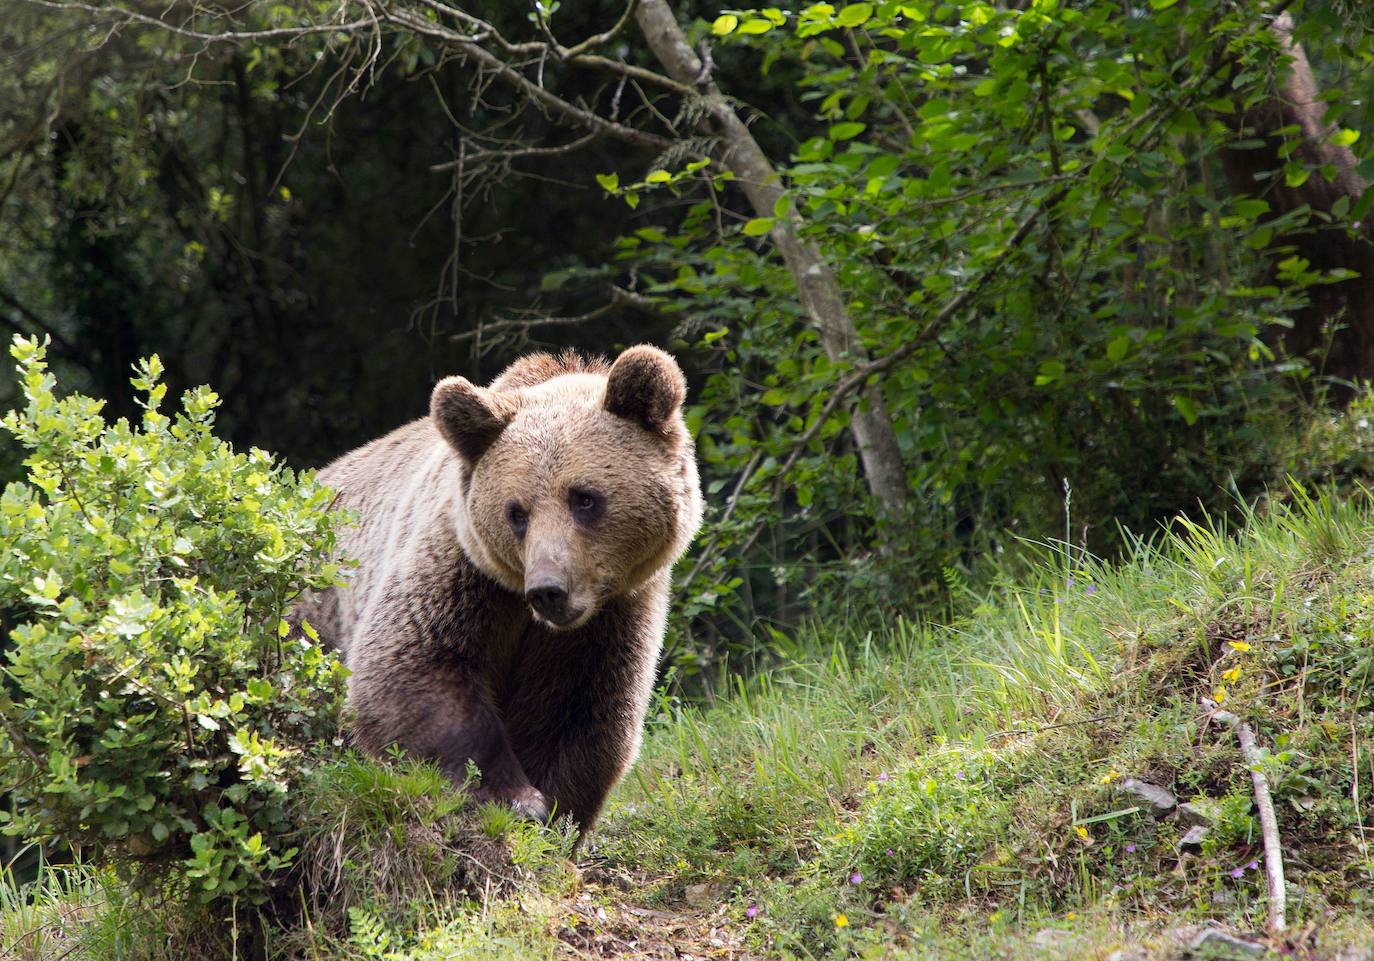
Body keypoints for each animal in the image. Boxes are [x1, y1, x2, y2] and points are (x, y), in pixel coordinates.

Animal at [299, 346, 703, 824]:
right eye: (516, 512)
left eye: (584, 498)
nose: (548, 590)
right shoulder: (461, 572)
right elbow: (414, 667)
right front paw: (514, 796)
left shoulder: (612, 616)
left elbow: (579, 710)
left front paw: (554, 809)